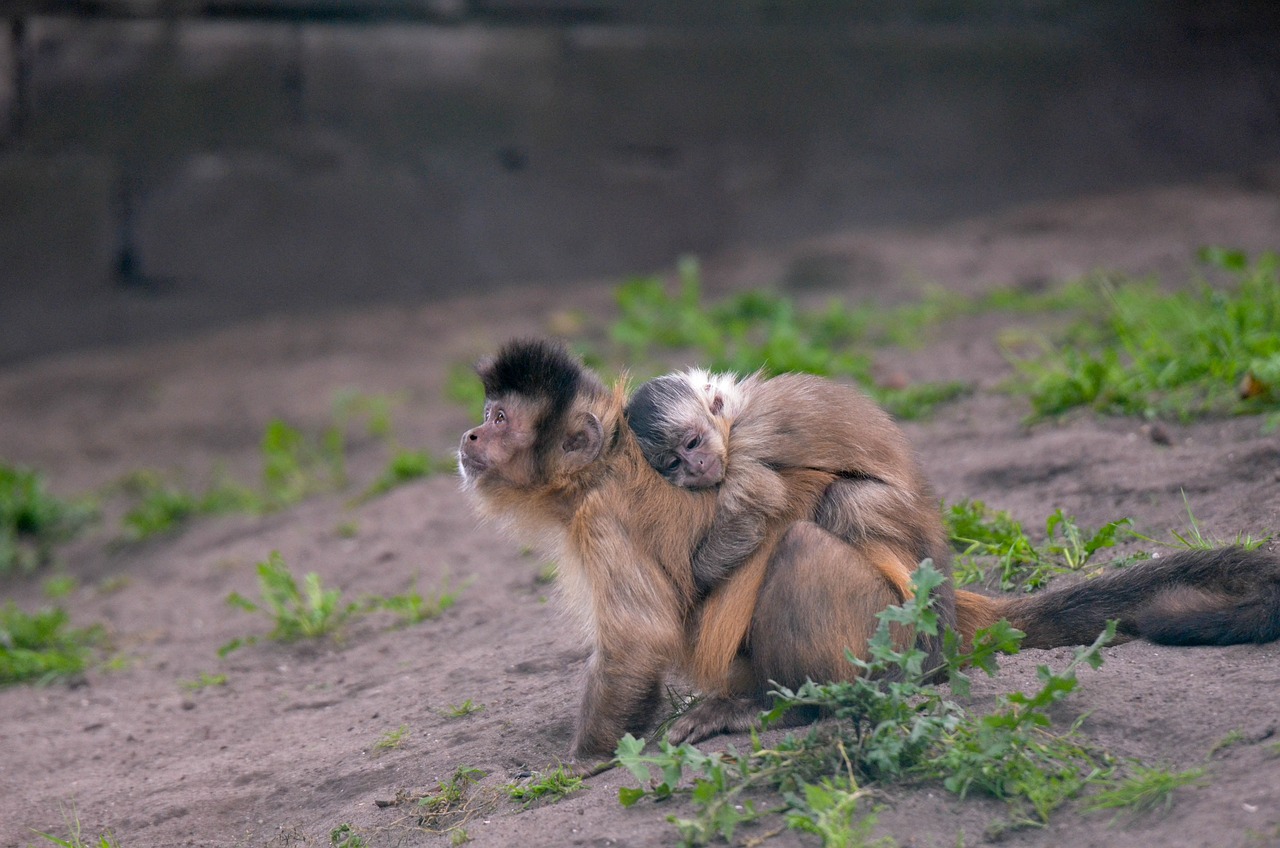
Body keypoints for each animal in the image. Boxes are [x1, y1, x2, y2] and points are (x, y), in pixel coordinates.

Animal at [460, 340, 1280, 768]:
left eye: (497, 419)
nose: (469, 436)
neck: (595, 468)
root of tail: (946, 611)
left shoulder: (602, 518)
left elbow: (641, 638)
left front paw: (587, 760)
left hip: (893, 625)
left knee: (797, 543)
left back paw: (790, 707)